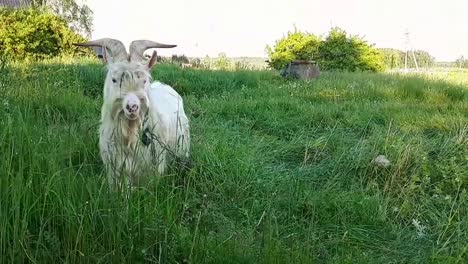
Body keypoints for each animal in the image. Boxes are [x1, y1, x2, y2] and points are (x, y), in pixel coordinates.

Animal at [75, 38, 190, 189]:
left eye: (144, 80)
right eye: (114, 79)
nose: (132, 107)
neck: (129, 133)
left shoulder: (154, 167)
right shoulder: (115, 168)